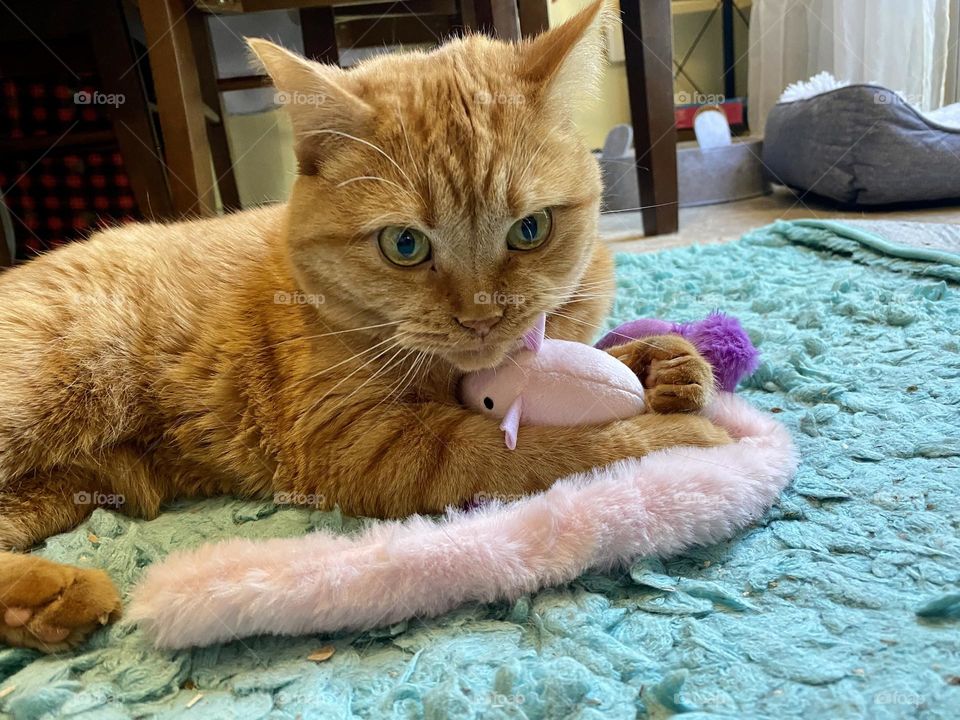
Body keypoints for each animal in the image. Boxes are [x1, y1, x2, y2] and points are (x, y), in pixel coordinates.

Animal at [0, 0, 724, 652]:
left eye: (531, 229)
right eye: (404, 245)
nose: (481, 316)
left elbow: (596, 354)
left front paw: (665, 365)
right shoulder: (360, 441)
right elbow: (533, 453)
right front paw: (669, 439)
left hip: (62, 490)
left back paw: (44, 604)